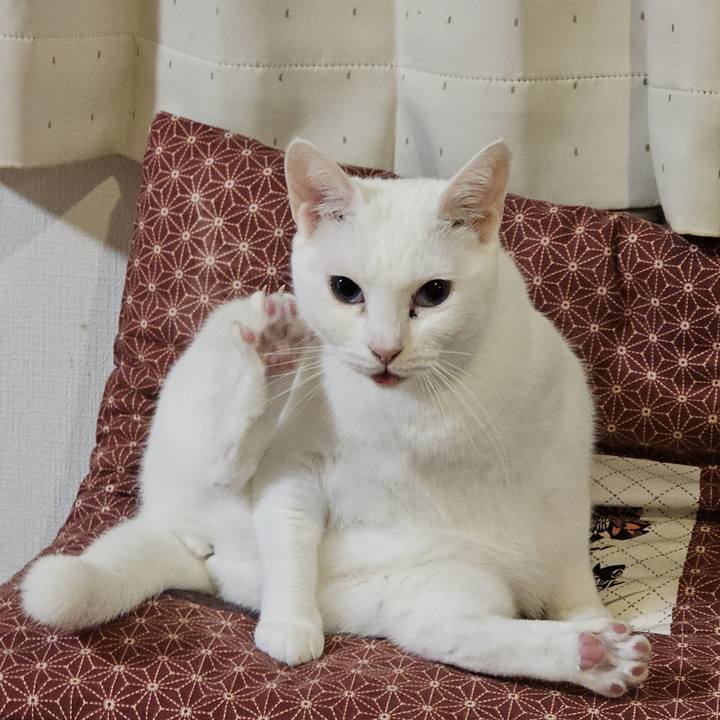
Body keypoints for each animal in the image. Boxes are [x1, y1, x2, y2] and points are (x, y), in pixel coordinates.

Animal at [21, 138, 651, 697]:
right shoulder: (294, 469)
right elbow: (292, 543)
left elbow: (574, 577)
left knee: (476, 637)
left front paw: (593, 620)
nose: (384, 349)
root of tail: (189, 547)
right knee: (228, 462)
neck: (412, 415)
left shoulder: (561, 486)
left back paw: (597, 656)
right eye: (345, 290)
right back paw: (273, 352)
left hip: (437, 594)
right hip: (216, 424)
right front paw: (291, 625)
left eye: (434, 293)